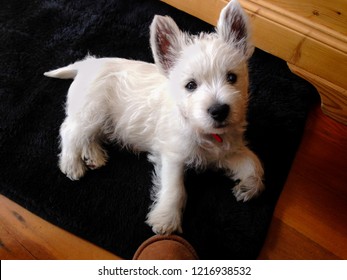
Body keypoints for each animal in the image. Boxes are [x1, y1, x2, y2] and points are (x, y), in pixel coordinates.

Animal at [44, 0, 266, 235]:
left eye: (231, 77)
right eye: (190, 85)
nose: (219, 111)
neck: (204, 131)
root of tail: (86, 64)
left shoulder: (226, 151)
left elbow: (254, 163)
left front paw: (248, 187)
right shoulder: (173, 155)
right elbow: (175, 188)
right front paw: (166, 220)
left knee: (87, 135)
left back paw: (93, 155)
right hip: (91, 112)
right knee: (70, 131)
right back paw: (71, 164)